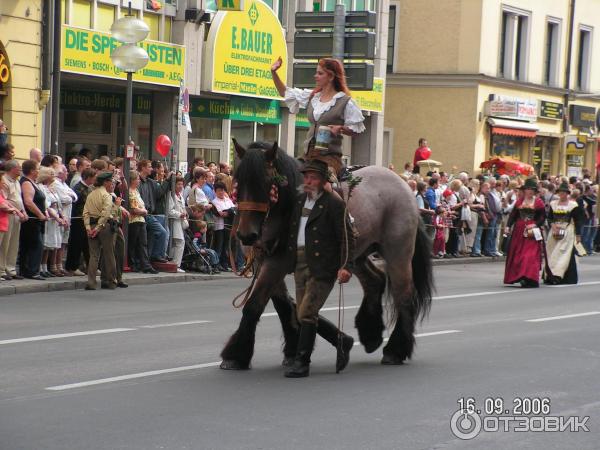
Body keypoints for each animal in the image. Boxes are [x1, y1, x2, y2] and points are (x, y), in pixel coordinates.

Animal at [219, 141, 432, 370]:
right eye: (238, 182)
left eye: (267, 182)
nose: (246, 235)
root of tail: (403, 185)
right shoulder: (264, 261)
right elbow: (285, 305)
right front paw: (293, 348)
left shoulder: (276, 263)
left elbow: (255, 305)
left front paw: (236, 354)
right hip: (355, 254)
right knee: (375, 280)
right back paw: (370, 334)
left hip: (398, 253)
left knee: (404, 295)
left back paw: (395, 350)